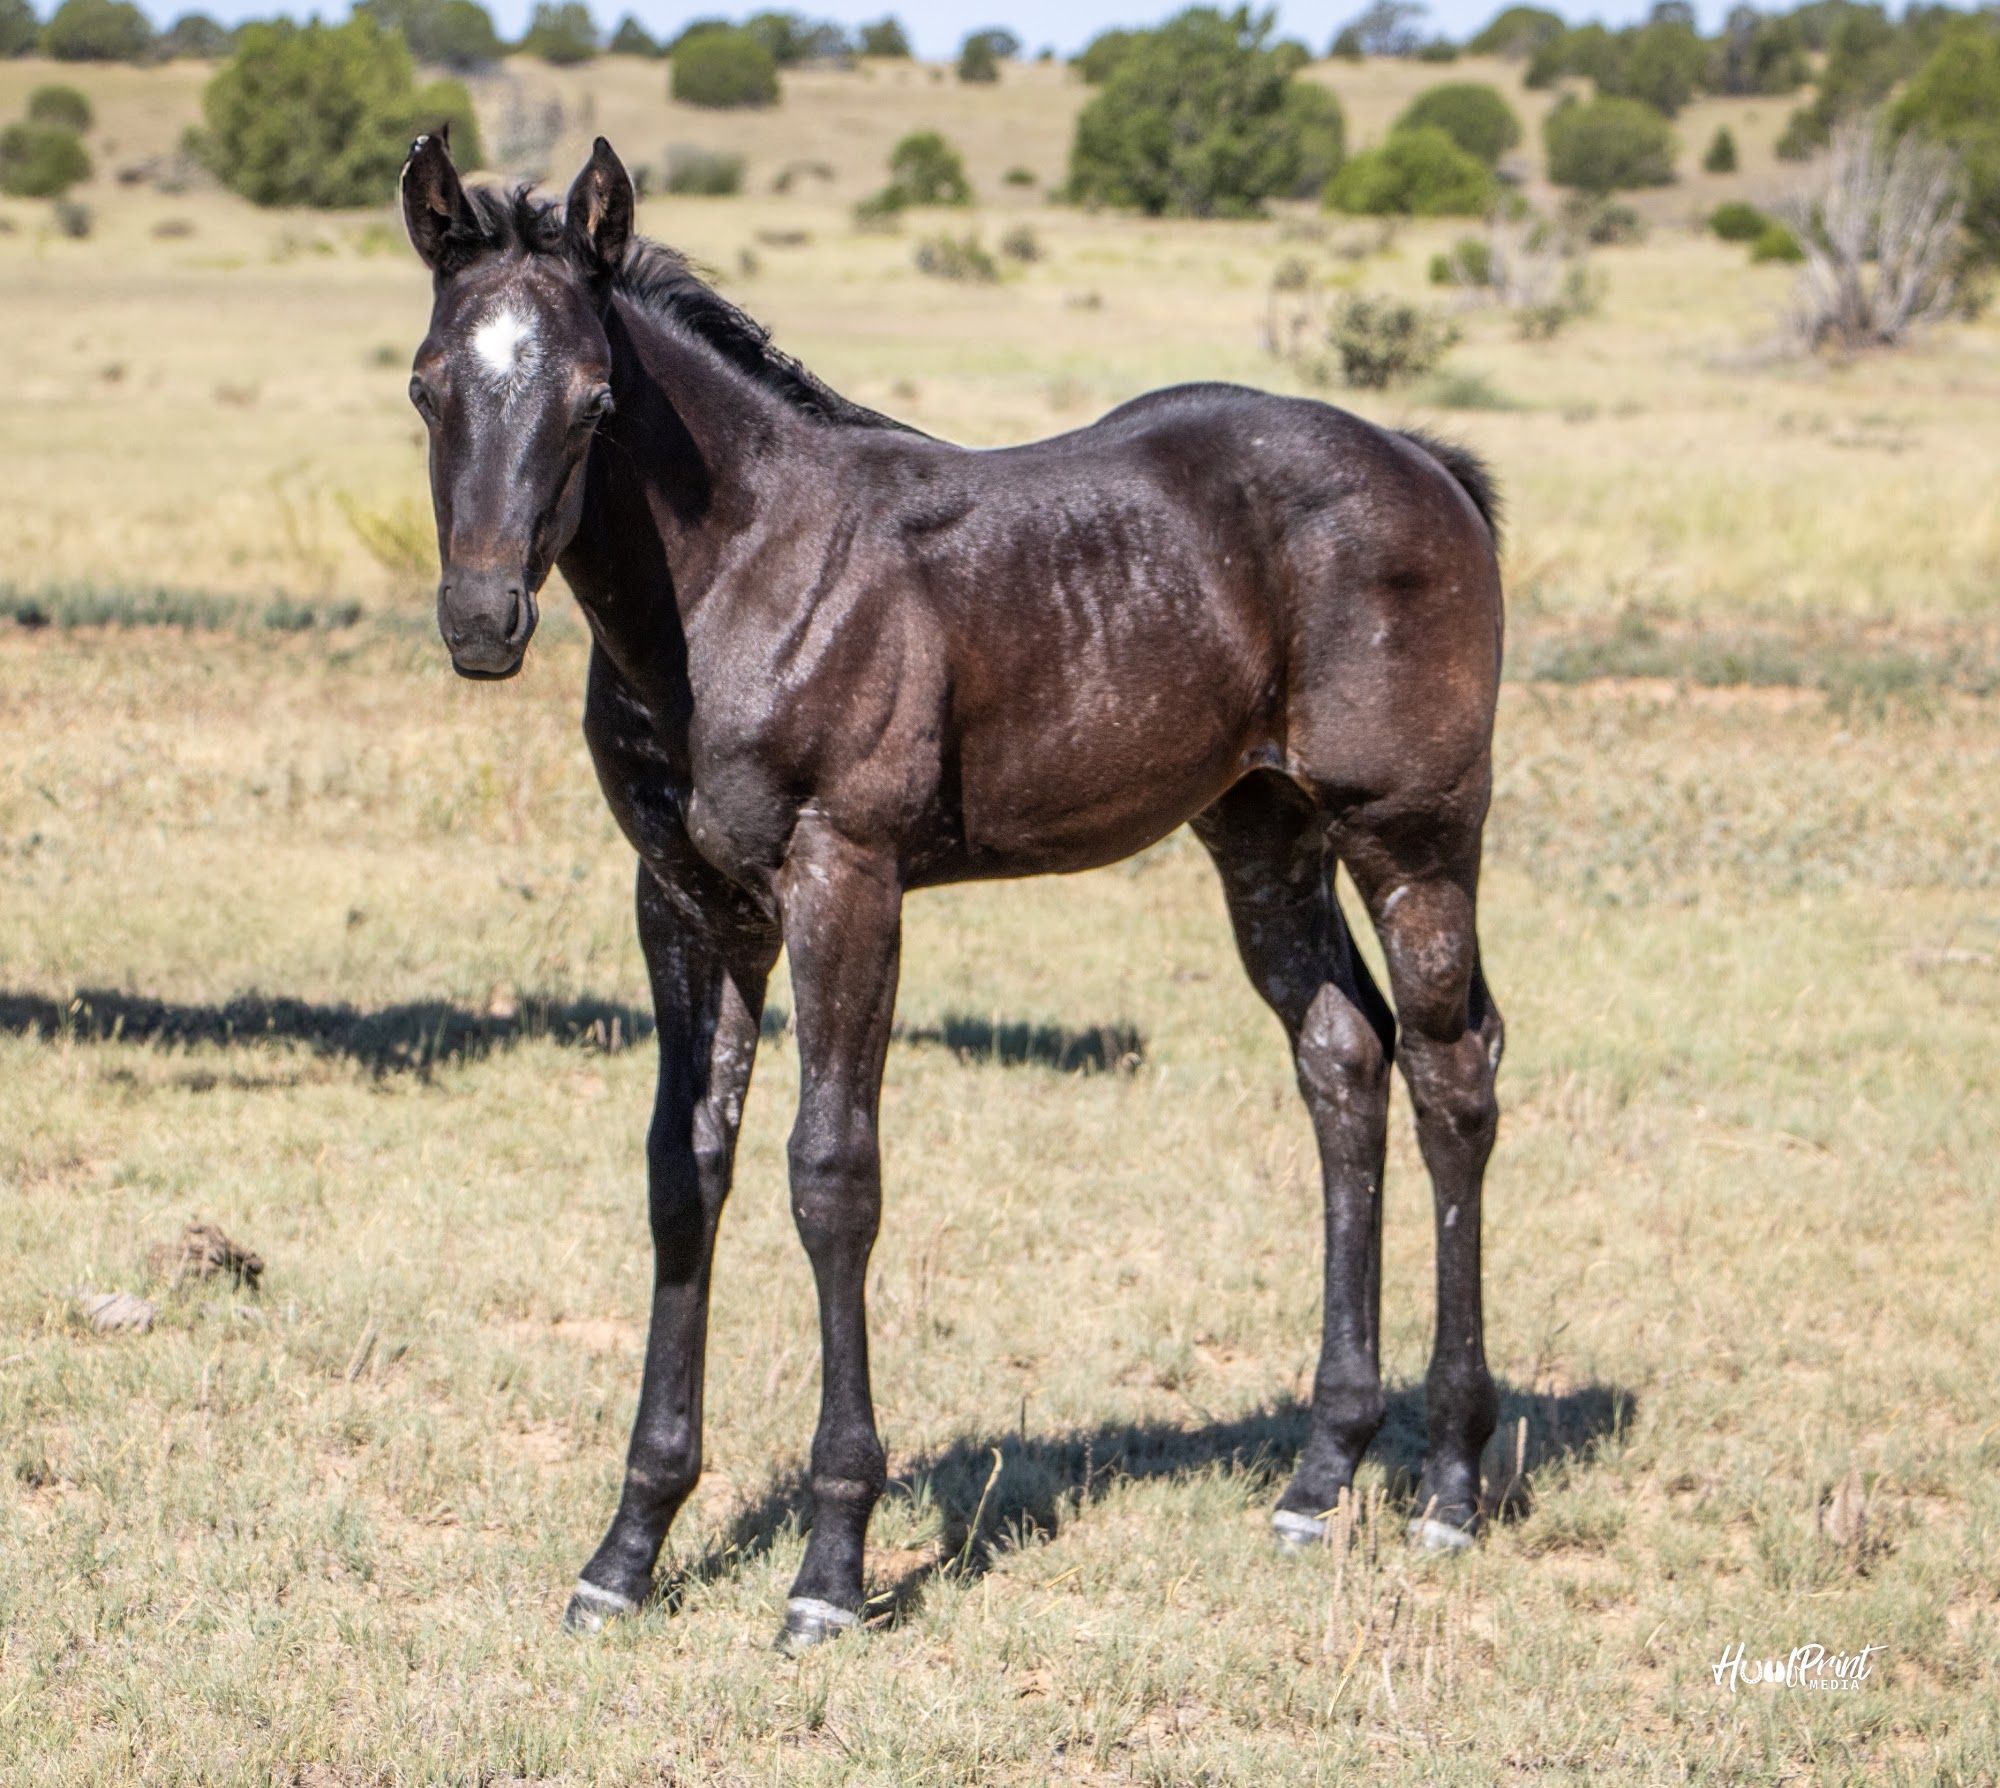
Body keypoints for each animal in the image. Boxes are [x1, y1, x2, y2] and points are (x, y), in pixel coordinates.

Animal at [399, 133, 1508, 1650]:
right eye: (426, 386)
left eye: (594, 398)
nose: (480, 622)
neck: (740, 572)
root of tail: (1428, 466)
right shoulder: (684, 900)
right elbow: (684, 1170)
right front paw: (627, 1550)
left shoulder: (847, 879)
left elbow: (831, 1176)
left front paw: (829, 1568)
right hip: (1259, 832)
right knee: (1344, 1059)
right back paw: (1318, 1476)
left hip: (1413, 837)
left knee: (1454, 1076)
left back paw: (1451, 1482)